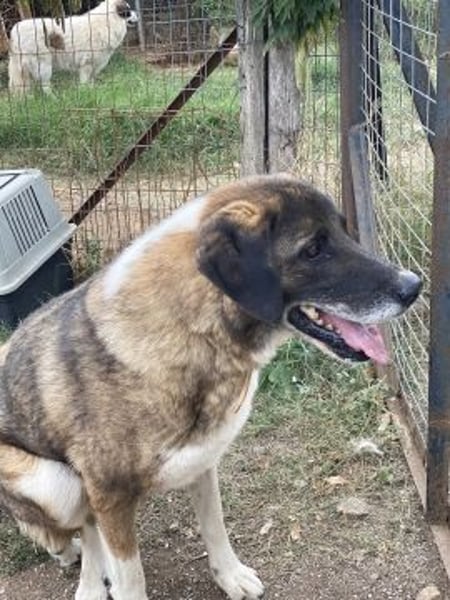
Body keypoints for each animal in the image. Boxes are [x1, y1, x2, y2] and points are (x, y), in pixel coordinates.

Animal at [0, 175, 421, 600]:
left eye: (344, 232)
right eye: (313, 249)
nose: (414, 286)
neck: (195, 335)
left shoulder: (202, 460)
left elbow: (215, 526)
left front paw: (230, 575)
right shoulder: (108, 494)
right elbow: (130, 575)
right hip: (54, 483)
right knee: (85, 529)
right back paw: (86, 579)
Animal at [8, 0, 138, 94]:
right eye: (128, 11)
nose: (137, 16)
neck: (107, 21)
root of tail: (15, 31)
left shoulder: (94, 65)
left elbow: (91, 82)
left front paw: (92, 92)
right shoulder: (87, 65)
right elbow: (84, 82)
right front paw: (86, 94)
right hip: (43, 65)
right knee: (44, 85)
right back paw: (53, 99)